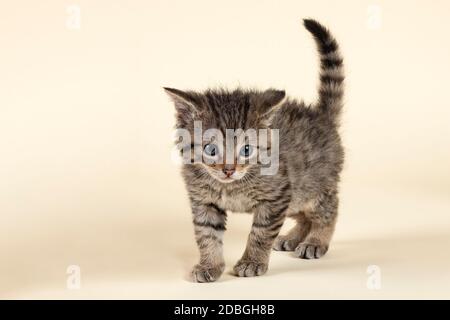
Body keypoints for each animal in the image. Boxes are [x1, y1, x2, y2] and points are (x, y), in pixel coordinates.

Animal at [165, 18, 344, 282]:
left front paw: (251, 261)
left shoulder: (276, 197)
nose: (228, 170)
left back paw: (315, 241)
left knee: (328, 208)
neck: (231, 186)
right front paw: (210, 265)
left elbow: (260, 233)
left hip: (312, 186)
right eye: (210, 149)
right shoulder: (203, 200)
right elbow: (207, 234)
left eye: (247, 149)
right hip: (297, 195)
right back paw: (292, 237)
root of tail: (321, 116)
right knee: (304, 215)